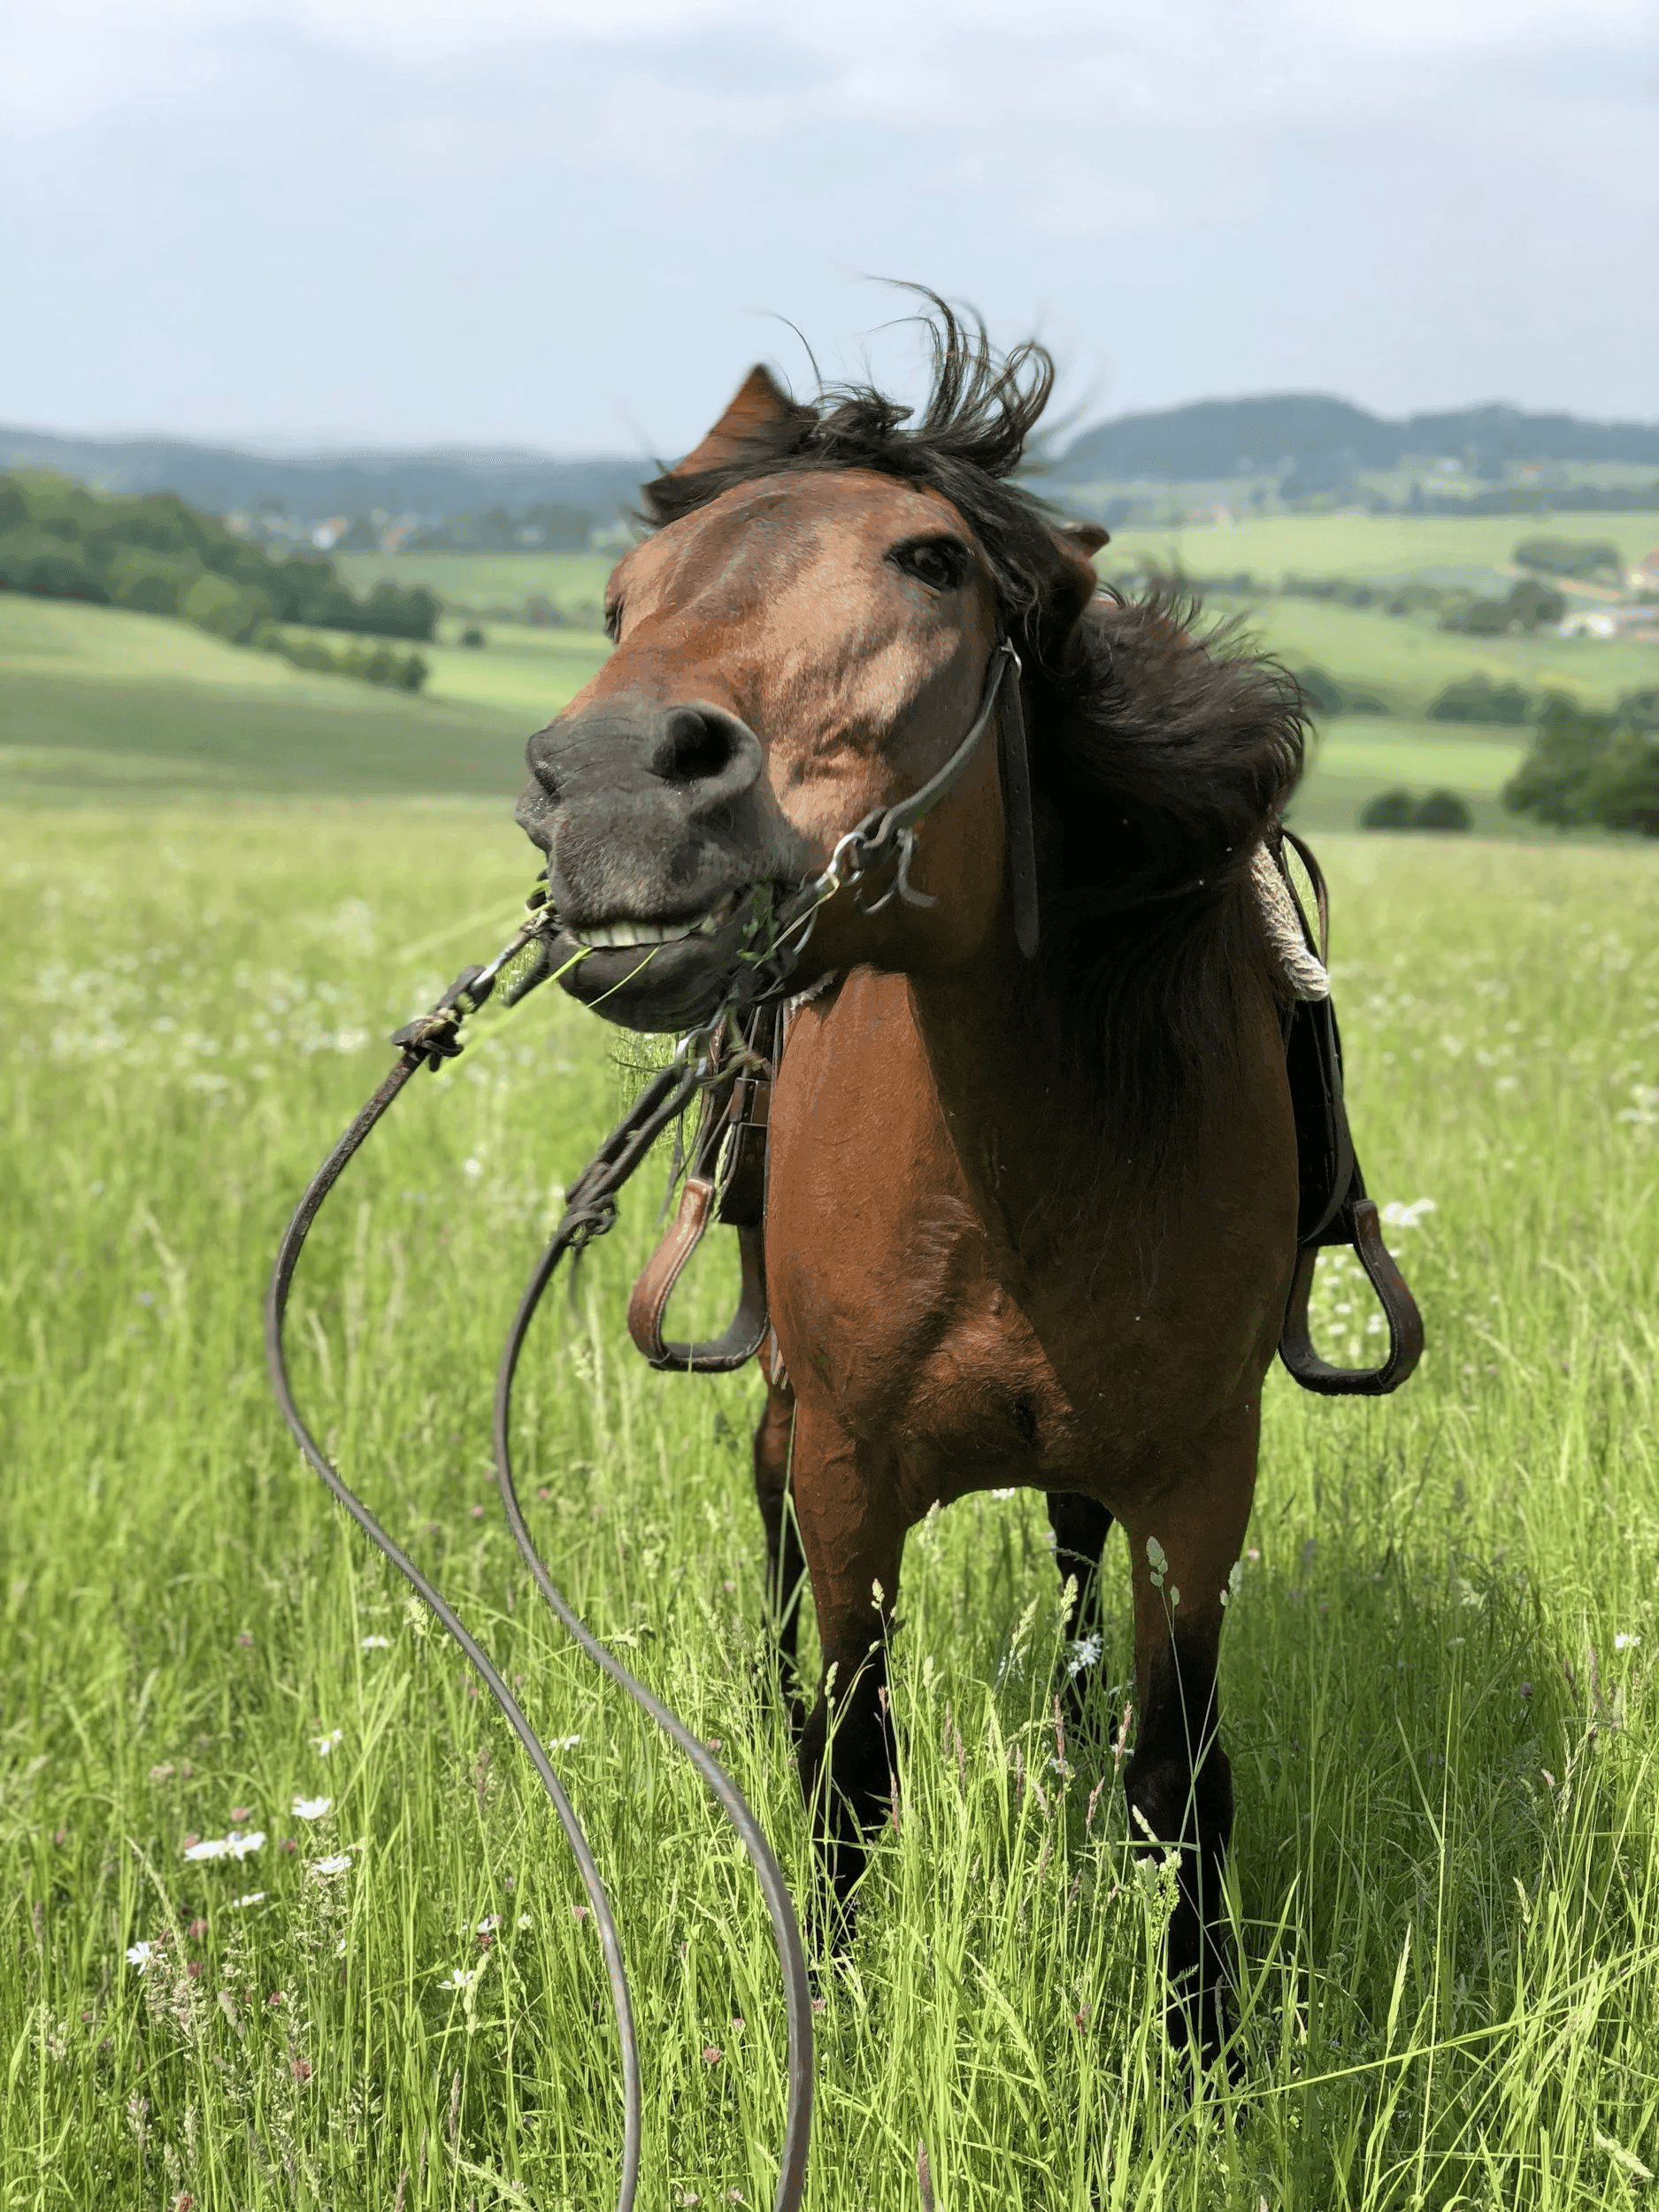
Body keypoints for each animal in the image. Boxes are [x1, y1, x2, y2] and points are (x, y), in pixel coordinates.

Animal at [513, 309, 1314, 2061]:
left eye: (932, 558)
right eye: (623, 594)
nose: (606, 790)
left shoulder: (1198, 1481)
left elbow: (1183, 1778)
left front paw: (1204, 2050)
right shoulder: (848, 1467)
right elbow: (856, 1764)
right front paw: (843, 2005)